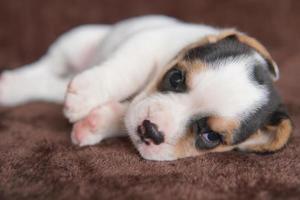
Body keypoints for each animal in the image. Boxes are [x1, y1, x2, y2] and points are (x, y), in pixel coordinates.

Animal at [0, 14, 290, 160]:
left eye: (211, 137)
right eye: (175, 78)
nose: (150, 131)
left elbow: (123, 115)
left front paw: (95, 124)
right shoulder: (146, 44)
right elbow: (125, 69)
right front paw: (88, 93)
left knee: (45, 82)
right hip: (74, 42)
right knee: (44, 66)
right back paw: (11, 82)